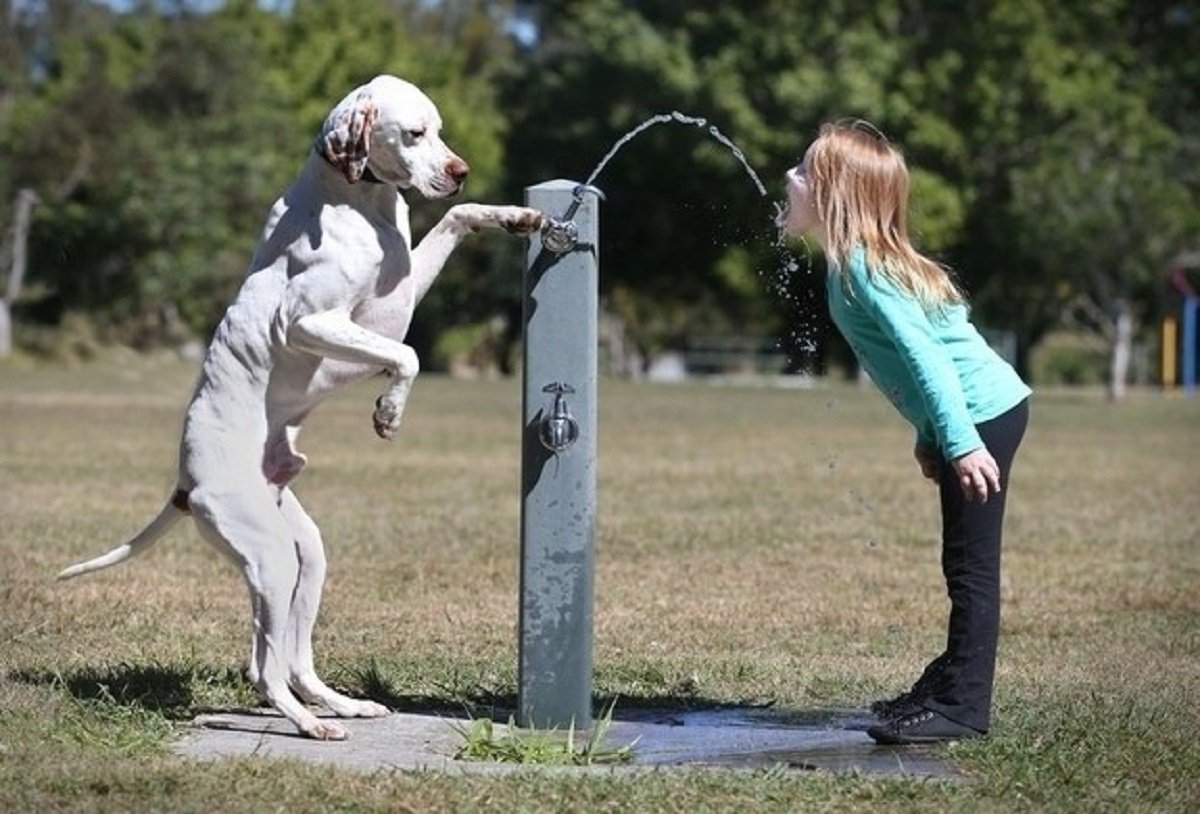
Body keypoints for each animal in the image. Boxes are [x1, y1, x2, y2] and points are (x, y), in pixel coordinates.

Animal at [57, 75, 544, 739]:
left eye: (440, 131)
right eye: (414, 133)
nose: (460, 170)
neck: (358, 200)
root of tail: (185, 484)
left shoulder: (400, 293)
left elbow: (456, 217)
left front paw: (515, 217)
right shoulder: (312, 321)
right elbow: (409, 355)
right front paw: (389, 412)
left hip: (305, 556)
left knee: (292, 659)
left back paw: (341, 705)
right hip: (270, 559)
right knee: (264, 668)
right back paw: (311, 725)